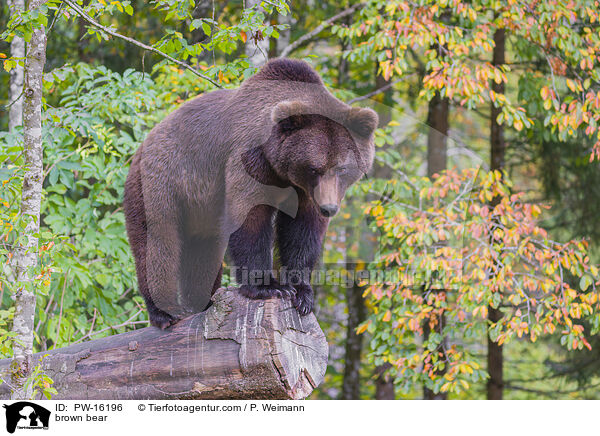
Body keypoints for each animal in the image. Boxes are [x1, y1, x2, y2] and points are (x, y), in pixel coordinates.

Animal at [123, 59, 378, 328]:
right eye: (314, 168)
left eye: (342, 168)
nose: (328, 208)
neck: (280, 171)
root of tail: (141, 147)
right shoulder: (250, 161)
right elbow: (250, 218)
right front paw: (268, 286)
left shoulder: (303, 193)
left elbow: (303, 231)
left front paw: (302, 293)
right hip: (162, 186)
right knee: (159, 243)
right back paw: (165, 312)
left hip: (199, 210)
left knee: (204, 251)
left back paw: (203, 301)